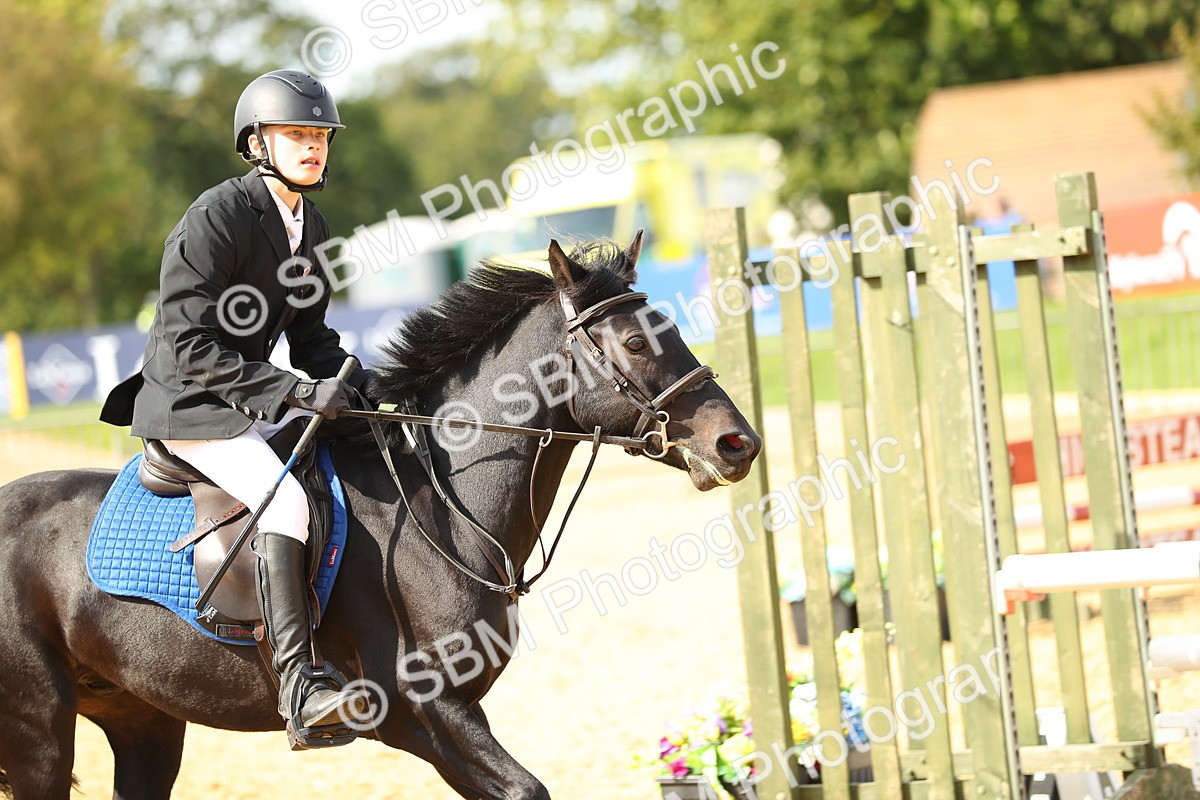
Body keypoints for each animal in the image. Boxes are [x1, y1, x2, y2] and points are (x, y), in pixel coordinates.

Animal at [0, 234, 761, 799]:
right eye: (634, 343)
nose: (738, 444)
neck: (441, 506)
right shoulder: (421, 712)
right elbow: (528, 789)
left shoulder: (454, 720)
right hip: (39, 733)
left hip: (144, 722)